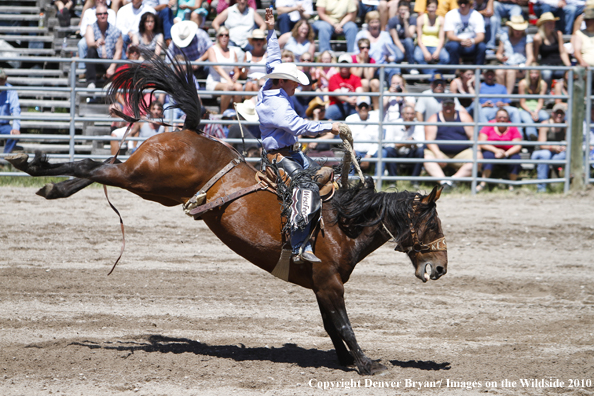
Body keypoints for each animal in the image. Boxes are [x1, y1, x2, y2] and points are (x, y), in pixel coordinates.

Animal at [5, 51, 444, 376]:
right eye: (433, 222)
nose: (439, 269)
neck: (341, 223)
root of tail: (189, 131)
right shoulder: (329, 283)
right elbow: (344, 324)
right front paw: (368, 363)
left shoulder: (321, 286)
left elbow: (331, 327)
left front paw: (347, 361)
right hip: (148, 177)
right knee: (92, 166)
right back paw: (30, 162)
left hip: (153, 186)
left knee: (98, 167)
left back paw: (50, 184)